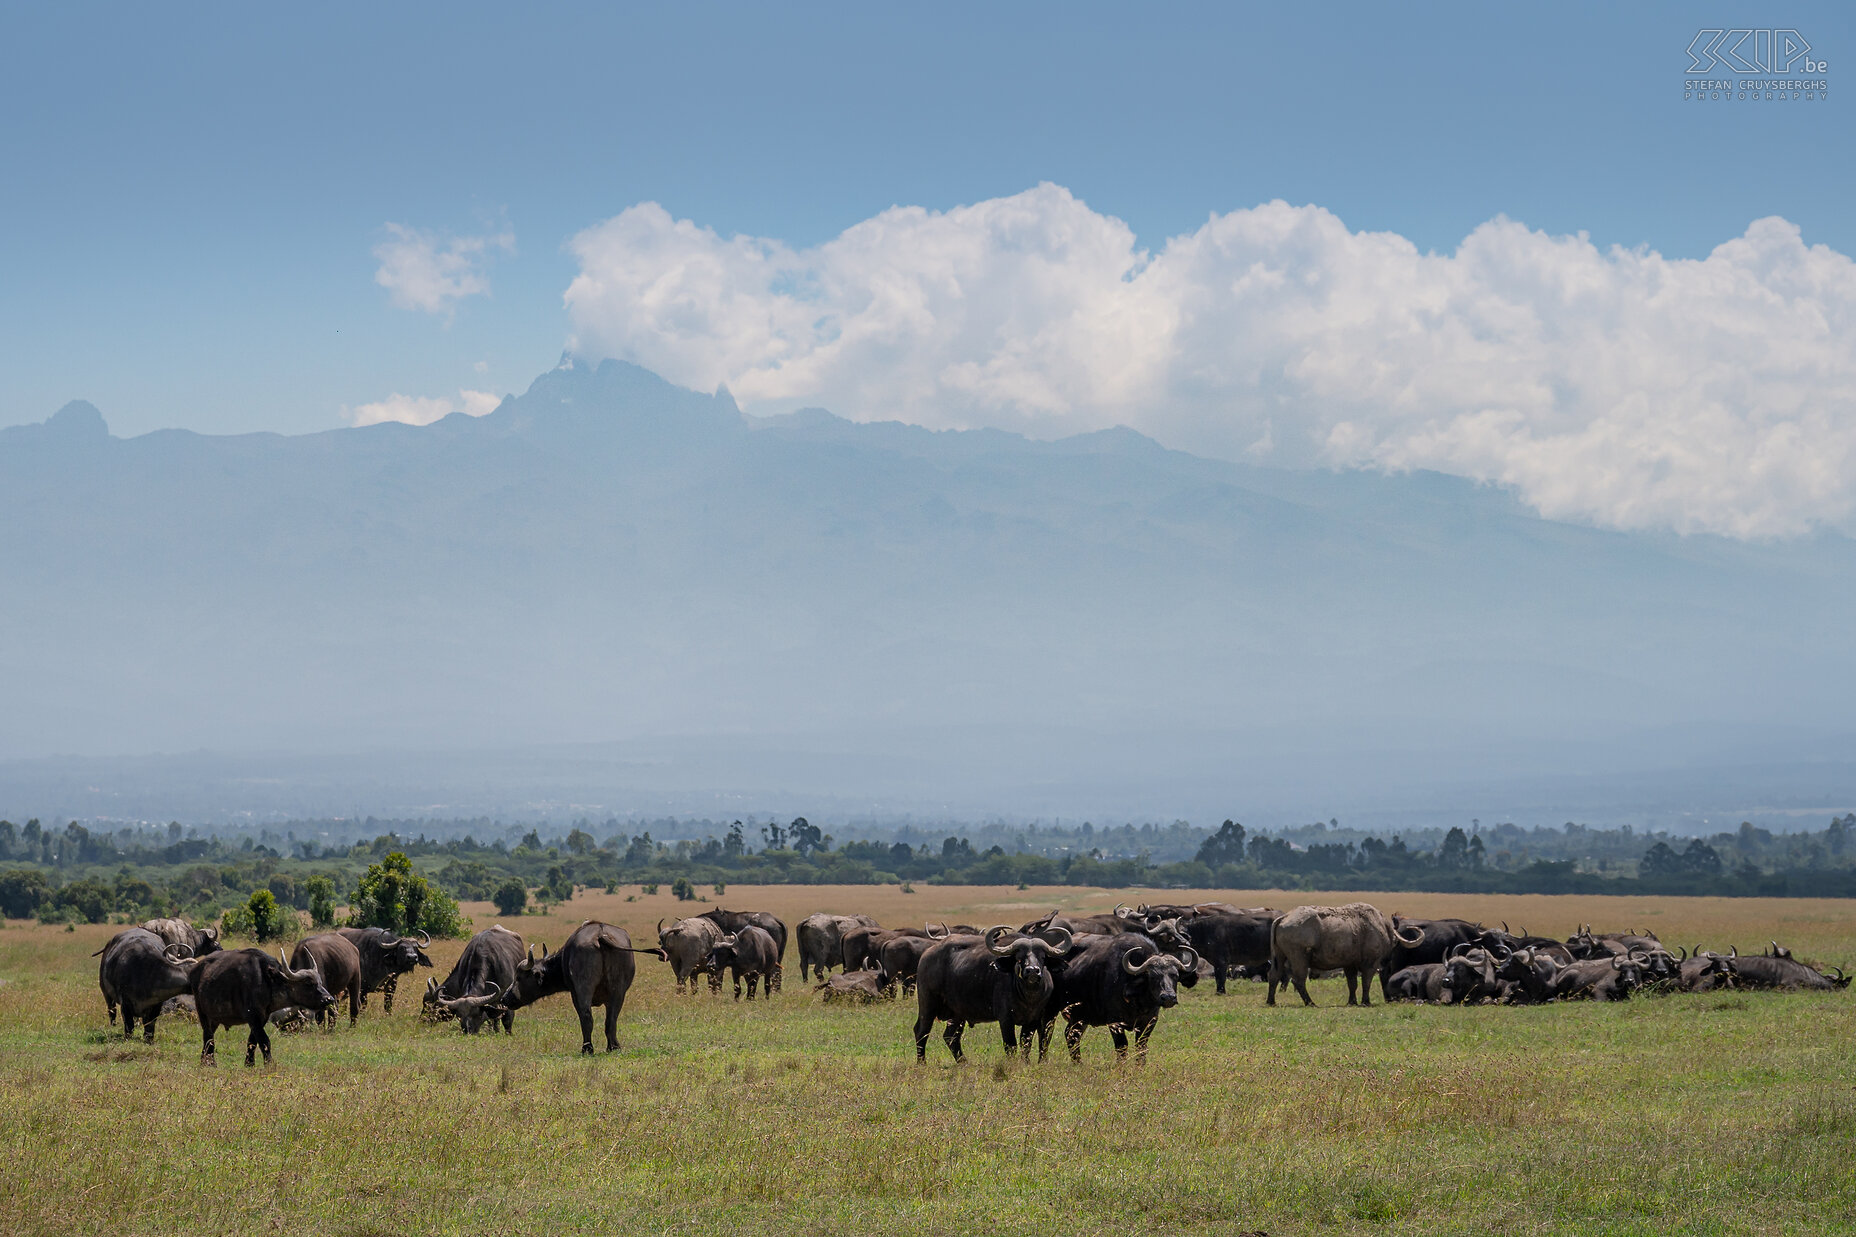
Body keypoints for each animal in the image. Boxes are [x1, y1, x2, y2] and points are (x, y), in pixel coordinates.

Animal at [913, 924, 1076, 1062]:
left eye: (1042, 957)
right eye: (1019, 958)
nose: (1032, 971)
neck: (1028, 997)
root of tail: (927, 954)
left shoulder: (1034, 1020)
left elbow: (1026, 1044)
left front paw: (1026, 1063)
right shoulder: (1005, 1019)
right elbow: (1011, 1045)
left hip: (957, 1013)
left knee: (951, 1036)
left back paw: (963, 1062)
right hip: (928, 1003)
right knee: (921, 1032)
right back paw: (922, 1062)